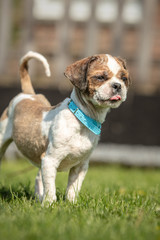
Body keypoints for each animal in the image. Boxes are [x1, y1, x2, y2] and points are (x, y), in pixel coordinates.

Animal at [0, 51, 130, 204]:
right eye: (100, 77)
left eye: (124, 78)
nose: (118, 85)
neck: (82, 119)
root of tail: (28, 94)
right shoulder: (50, 161)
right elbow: (50, 188)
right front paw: (49, 204)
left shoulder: (81, 166)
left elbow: (73, 188)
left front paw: (71, 203)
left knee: (38, 178)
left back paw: (39, 198)